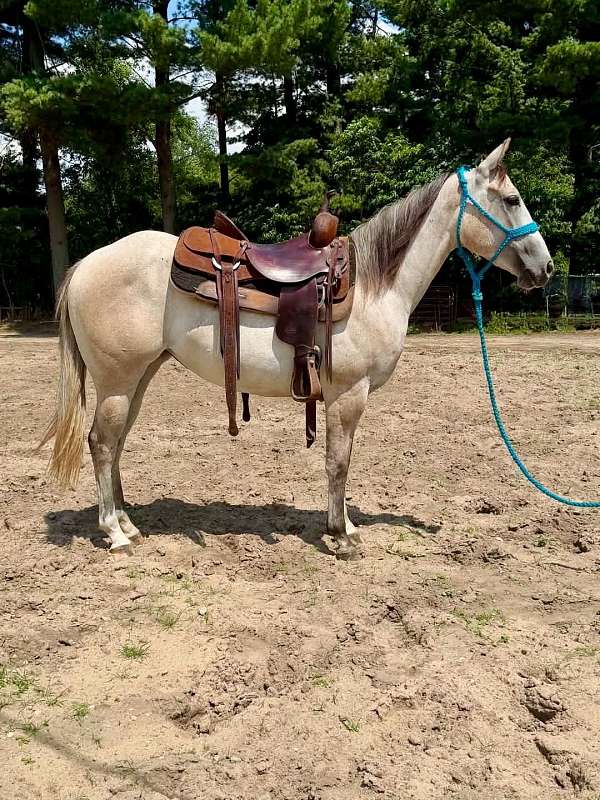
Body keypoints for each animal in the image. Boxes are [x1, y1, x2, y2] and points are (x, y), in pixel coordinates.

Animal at [41, 139, 553, 560]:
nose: (546, 268)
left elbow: (338, 461)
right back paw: (114, 533)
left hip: (138, 377)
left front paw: (342, 526)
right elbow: (338, 461)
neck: (374, 286)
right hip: (118, 380)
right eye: (512, 200)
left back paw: (128, 522)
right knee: (101, 443)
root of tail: (87, 264)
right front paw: (342, 535)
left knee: (117, 443)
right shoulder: (348, 395)